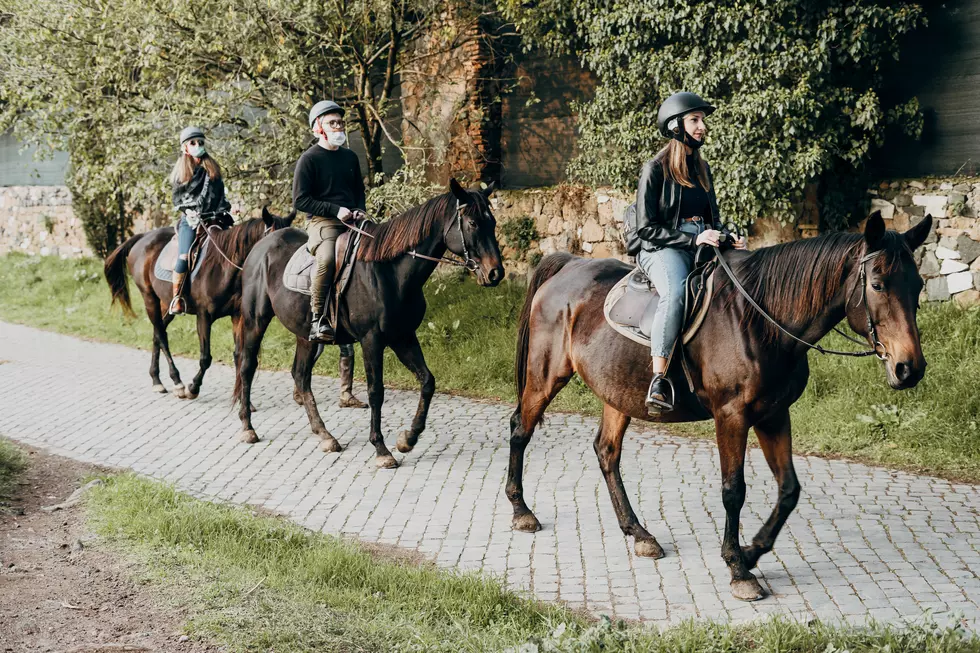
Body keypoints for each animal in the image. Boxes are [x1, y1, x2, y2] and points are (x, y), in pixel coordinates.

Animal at [104, 209, 294, 400]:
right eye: (275, 241)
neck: (224, 267)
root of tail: (143, 237)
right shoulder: (204, 316)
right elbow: (205, 358)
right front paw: (193, 388)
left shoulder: (237, 316)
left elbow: (239, 355)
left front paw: (242, 398)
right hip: (149, 298)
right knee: (161, 336)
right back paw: (177, 382)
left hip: (166, 304)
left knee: (157, 333)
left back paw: (156, 380)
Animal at [233, 177, 502, 464]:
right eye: (473, 223)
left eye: (492, 222)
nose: (495, 273)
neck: (391, 270)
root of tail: (261, 247)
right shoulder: (371, 340)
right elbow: (376, 392)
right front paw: (381, 449)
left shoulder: (403, 336)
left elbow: (427, 381)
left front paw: (408, 438)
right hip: (255, 321)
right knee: (247, 366)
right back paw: (248, 427)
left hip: (305, 335)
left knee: (301, 375)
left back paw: (324, 435)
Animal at [510, 211, 932, 600]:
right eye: (877, 284)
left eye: (918, 285)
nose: (909, 368)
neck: (762, 322)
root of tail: (569, 265)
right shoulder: (731, 416)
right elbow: (734, 491)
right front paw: (737, 568)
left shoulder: (773, 414)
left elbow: (789, 490)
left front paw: (751, 552)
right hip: (546, 376)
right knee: (521, 429)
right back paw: (522, 512)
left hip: (618, 392)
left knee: (606, 451)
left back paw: (639, 533)